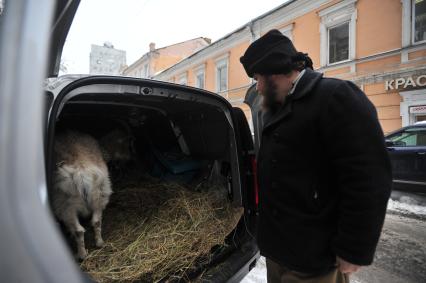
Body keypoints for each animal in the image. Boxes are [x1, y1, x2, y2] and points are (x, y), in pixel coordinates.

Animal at [52, 130, 133, 260]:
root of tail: (80, 172)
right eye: (127, 145)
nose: (130, 160)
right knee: (95, 222)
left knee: (79, 230)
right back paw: (98, 244)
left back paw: (81, 255)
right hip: (100, 195)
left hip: (65, 205)